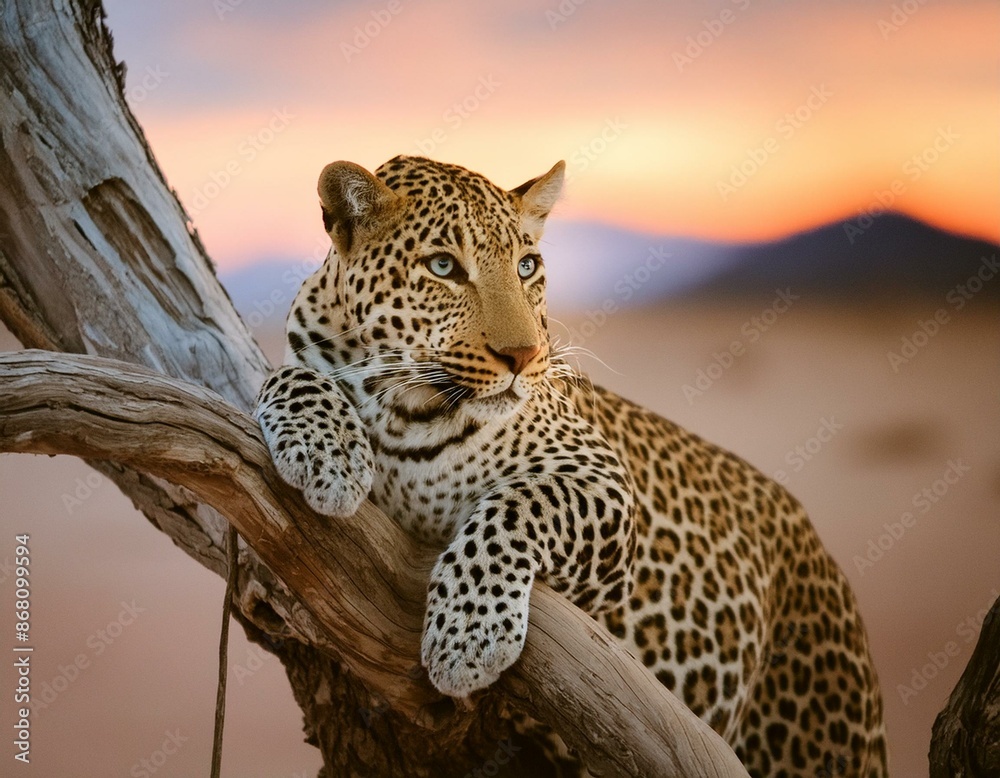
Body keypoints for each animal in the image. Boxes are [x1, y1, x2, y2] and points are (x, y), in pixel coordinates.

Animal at [254, 154, 888, 777]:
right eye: (443, 266)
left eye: (528, 266)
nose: (524, 355)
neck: (405, 407)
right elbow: (285, 377)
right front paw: (328, 456)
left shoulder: (601, 482)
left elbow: (510, 508)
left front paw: (468, 638)